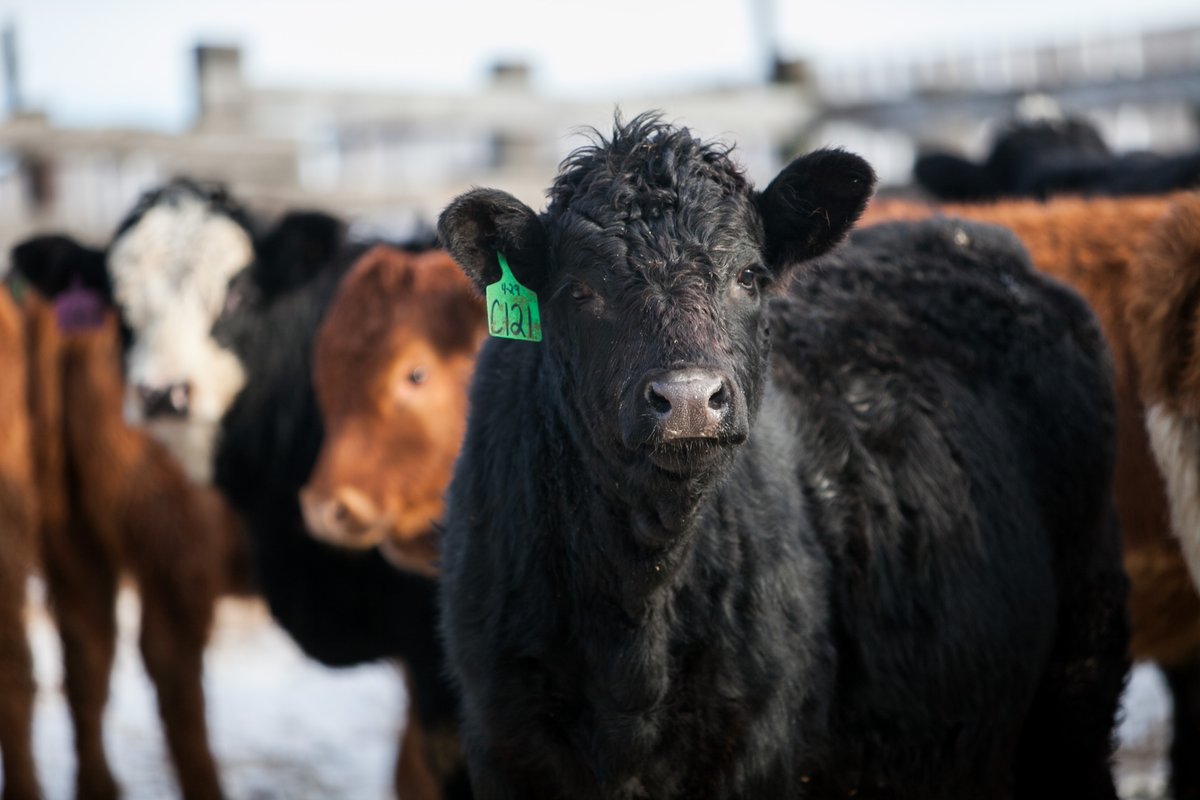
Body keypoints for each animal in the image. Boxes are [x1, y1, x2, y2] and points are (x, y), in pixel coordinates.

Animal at [436, 112, 1129, 799]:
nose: (688, 398)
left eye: (748, 276)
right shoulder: (506, 748)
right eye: (580, 290)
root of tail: (971, 237)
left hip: (1080, 676)